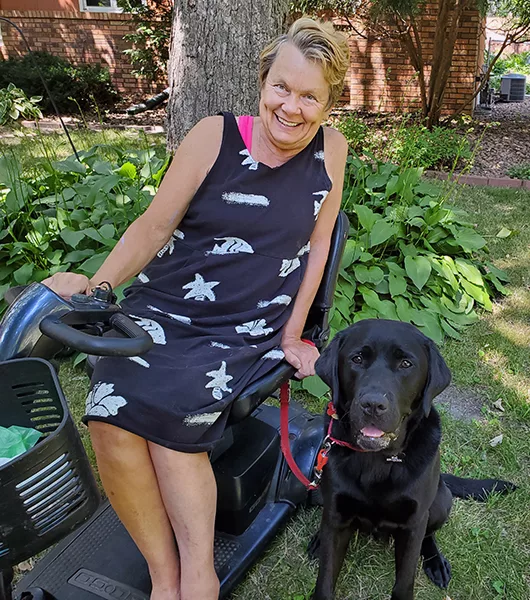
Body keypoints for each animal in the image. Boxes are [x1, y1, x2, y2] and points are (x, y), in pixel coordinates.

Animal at [310, 322, 512, 600]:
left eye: (406, 364)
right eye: (357, 359)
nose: (372, 404)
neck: (378, 461)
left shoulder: (414, 523)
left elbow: (405, 580)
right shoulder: (337, 516)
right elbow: (325, 578)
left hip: (440, 503)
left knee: (429, 535)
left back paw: (436, 563)